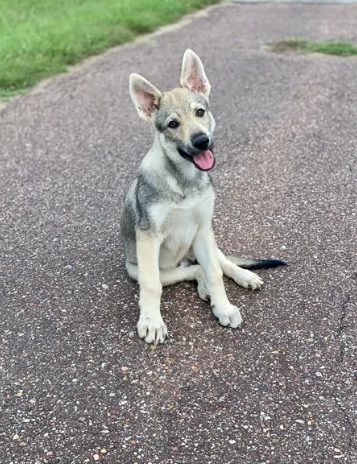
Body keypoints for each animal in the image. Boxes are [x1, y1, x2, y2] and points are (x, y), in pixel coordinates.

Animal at [121, 49, 286, 344]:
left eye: (200, 112)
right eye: (173, 124)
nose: (202, 141)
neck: (183, 181)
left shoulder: (202, 228)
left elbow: (215, 272)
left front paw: (224, 308)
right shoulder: (148, 239)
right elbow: (152, 286)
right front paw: (151, 322)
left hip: (204, 240)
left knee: (220, 262)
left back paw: (242, 276)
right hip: (144, 268)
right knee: (190, 271)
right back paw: (204, 288)